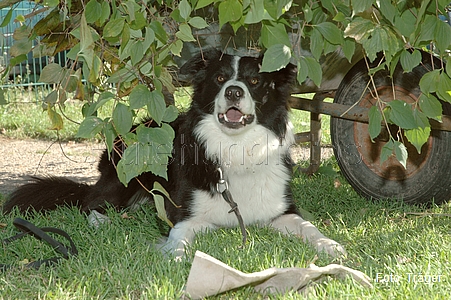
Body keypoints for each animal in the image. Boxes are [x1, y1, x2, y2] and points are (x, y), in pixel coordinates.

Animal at [3, 48, 346, 258]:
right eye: (219, 79)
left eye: (254, 81)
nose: (234, 92)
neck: (235, 150)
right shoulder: (185, 215)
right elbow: (178, 237)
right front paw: (174, 256)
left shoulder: (282, 212)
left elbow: (308, 227)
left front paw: (332, 246)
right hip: (125, 177)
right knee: (90, 202)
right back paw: (104, 221)